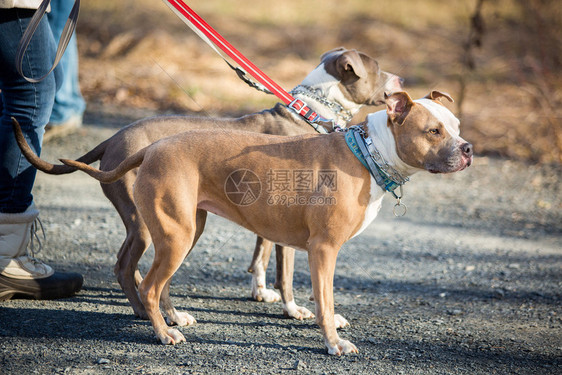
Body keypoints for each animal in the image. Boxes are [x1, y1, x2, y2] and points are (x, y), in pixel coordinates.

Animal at [57, 91, 470, 356]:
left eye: (457, 126)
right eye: (433, 131)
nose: (468, 148)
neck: (368, 153)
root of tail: (150, 148)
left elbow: (313, 294)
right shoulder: (323, 249)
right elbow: (323, 299)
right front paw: (333, 343)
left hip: (185, 231)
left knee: (160, 283)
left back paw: (173, 320)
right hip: (175, 234)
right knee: (149, 286)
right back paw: (162, 333)